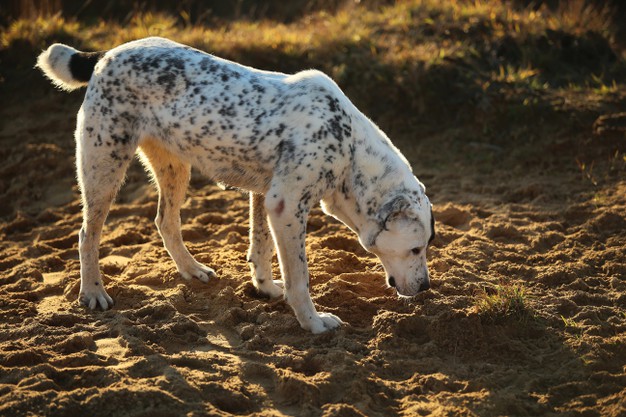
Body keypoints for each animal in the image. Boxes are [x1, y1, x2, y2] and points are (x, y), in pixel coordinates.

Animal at [36, 37, 432, 334]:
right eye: (415, 248)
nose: (427, 287)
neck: (347, 146)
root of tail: (105, 55)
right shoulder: (287, 205)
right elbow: (299, 278)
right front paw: (314, 323)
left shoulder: (267, 198)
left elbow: (261, 249)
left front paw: (265, 288)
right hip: (104, 166)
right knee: (87, 234)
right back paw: (93, 292)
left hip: (174, 167)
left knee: (165, 221)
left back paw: (192, 269)